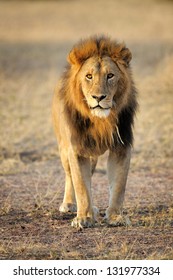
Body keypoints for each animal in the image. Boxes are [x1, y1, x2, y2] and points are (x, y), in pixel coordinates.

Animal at [52, 35, 137, 228]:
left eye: (110, 76)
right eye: (89, 76)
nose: (98, 98)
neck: (101, 121)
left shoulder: (121, 146)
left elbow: (119, 186)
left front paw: (115, 217)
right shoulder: (76, 148)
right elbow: (81, 185)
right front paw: (84, 217)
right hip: (64, 148)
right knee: (70, 175)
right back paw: (70, 204)